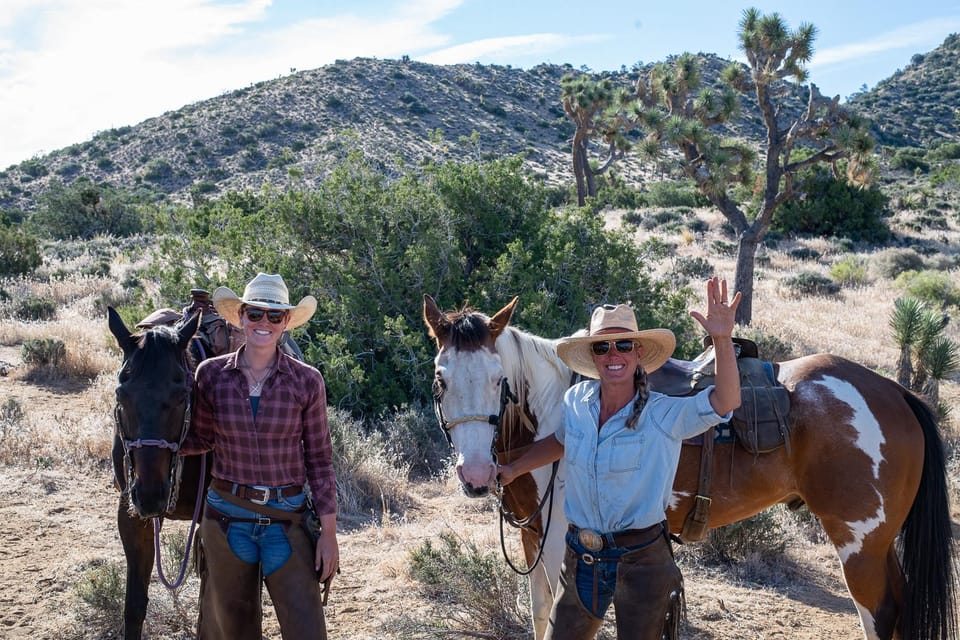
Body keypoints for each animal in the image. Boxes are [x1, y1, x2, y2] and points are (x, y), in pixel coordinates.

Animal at [428, 296, 960, 640]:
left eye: (498, 379)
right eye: (441, 378)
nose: (476, 476)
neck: (554, 412)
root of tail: (896, 393)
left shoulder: (561, 540)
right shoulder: (533, 535)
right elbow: (540, 616)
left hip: (859, 544)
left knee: (880, 615)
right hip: (877, 543)